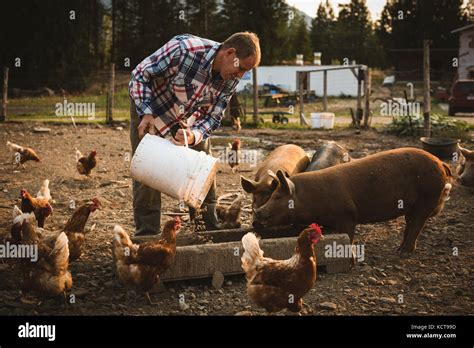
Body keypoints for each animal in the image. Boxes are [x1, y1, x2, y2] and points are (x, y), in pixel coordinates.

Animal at [254, 147, 454, 258]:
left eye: (278, 197)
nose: (257, 212)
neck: (312, 197)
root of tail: (440, 163)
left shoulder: (347, 216)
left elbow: (349, 237)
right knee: (410, 224)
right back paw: (399, 250)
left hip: (427, 197)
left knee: (416, 225)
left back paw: (403, 254)